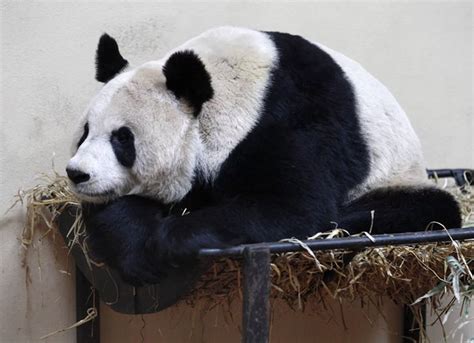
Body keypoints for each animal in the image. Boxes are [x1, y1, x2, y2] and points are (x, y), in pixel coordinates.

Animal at [65, 26, 460, 284]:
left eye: (123, 139)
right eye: (85, 131)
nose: (78, 173)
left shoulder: (288, 120)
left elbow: (292, 206)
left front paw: (169, 241)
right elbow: (112, 212)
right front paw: (138, 251)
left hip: (396, 175)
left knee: (420, 209)